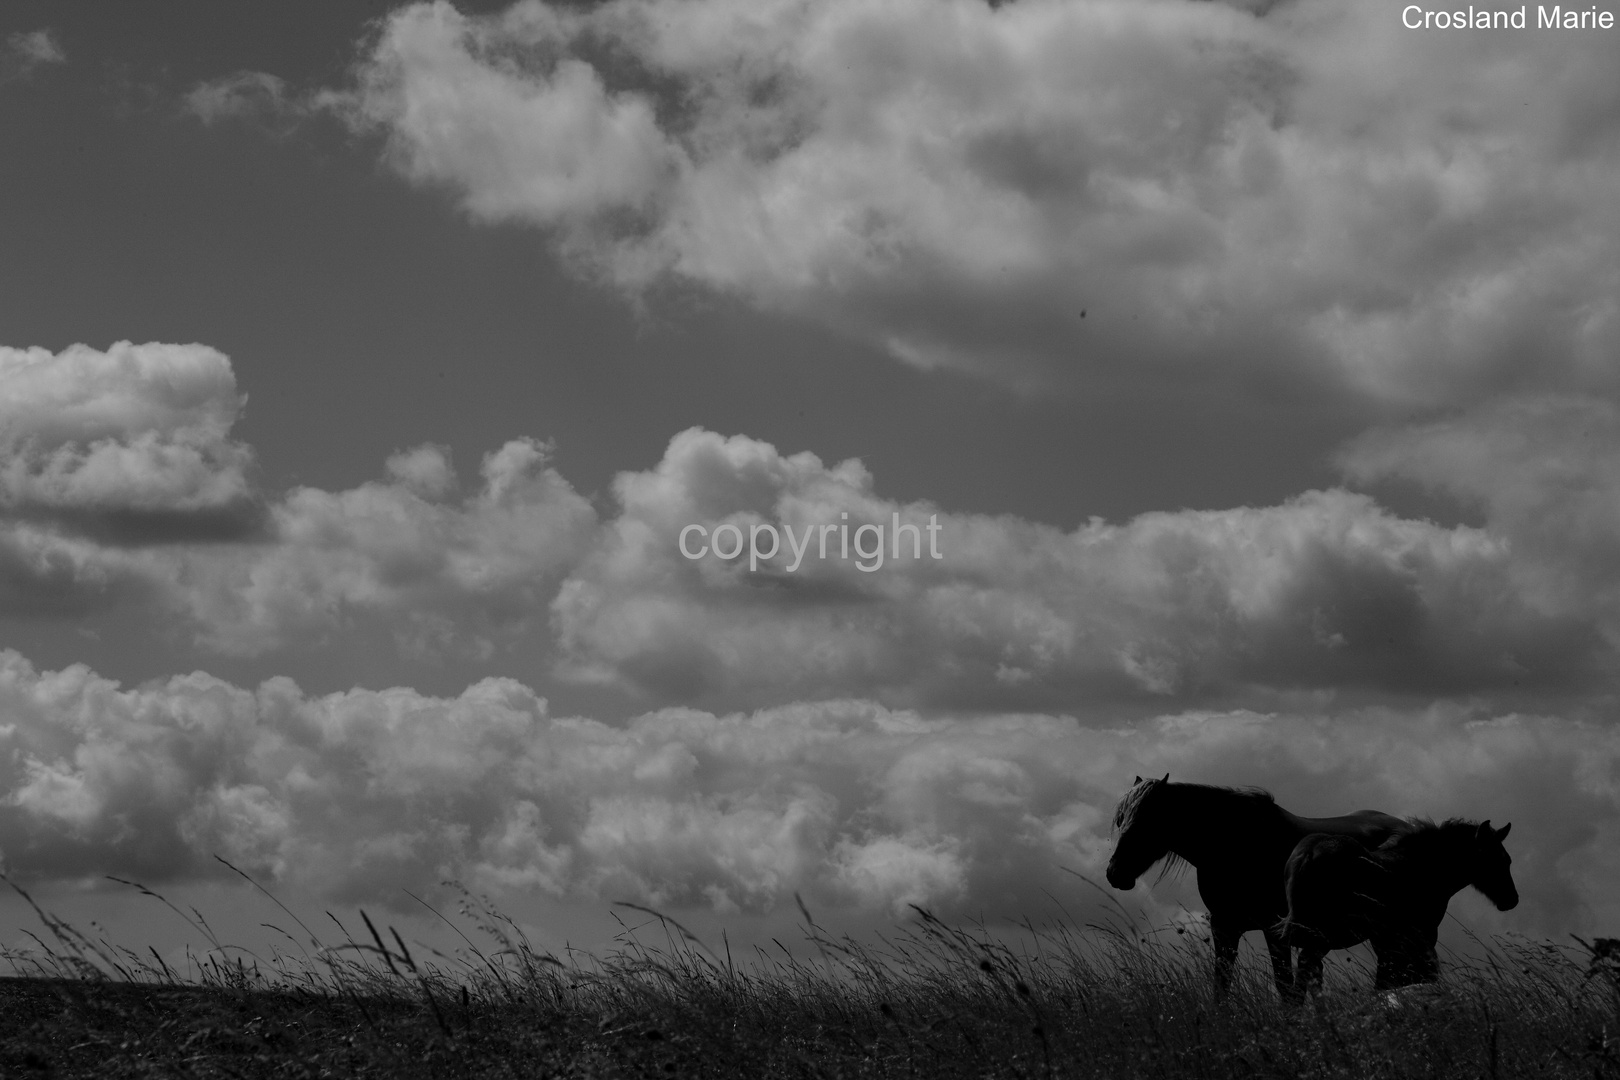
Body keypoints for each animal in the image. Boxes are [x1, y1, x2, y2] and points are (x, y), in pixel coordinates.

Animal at [1101, 777, 1406, 997]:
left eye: (1147, 822)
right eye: (1120, 820)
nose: (1115, 873)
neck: (1240, 844)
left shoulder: (1275, 931)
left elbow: (1286, 990)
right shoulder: (1224, 927)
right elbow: (1221, 986)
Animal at [1276, 822, 1516, 990]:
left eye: (1507, 859)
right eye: (1497, 859)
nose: (1512, 899)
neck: (1423, 867)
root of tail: (1307, 855)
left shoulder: (1387, 939)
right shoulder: (1422, 933)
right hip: (1322, 935)